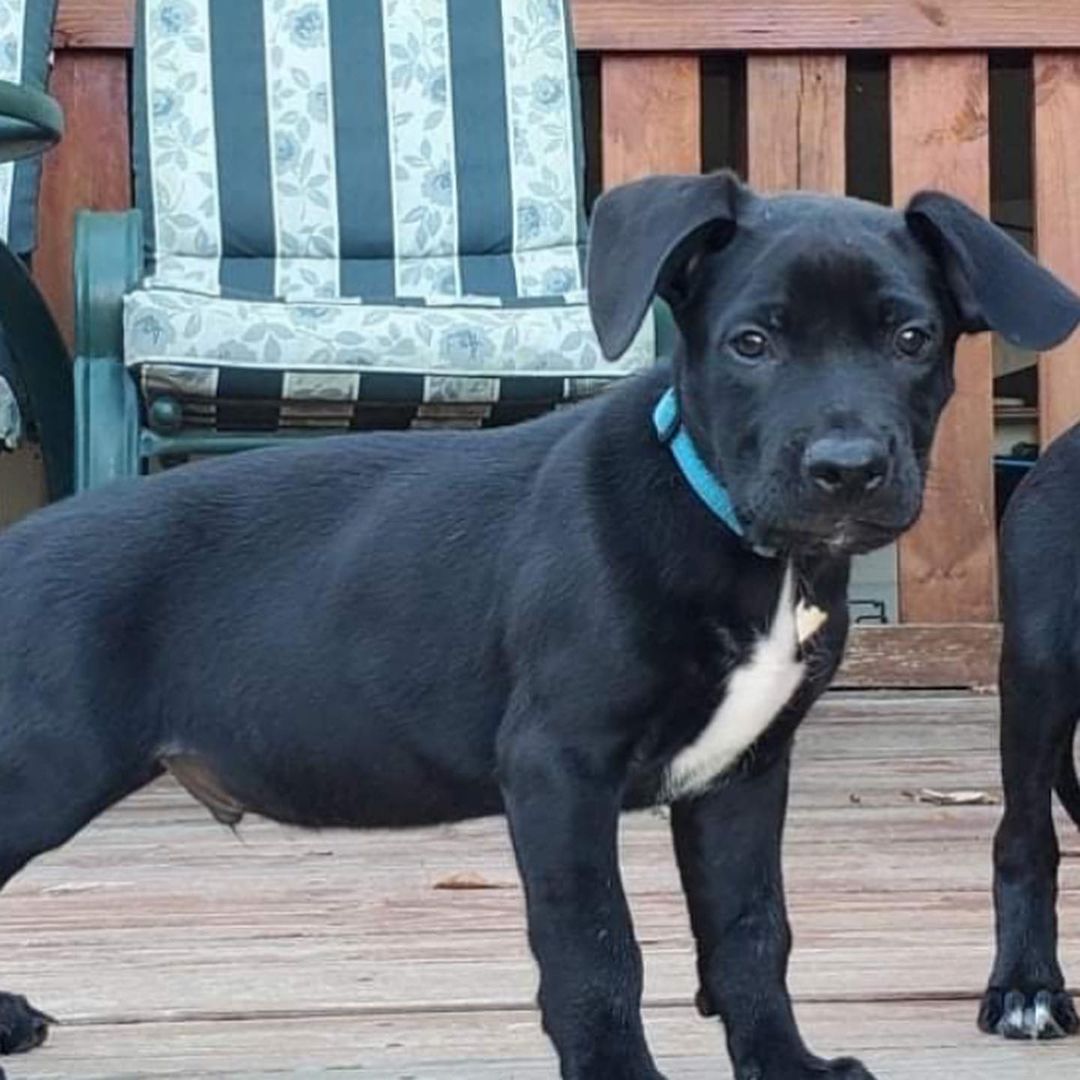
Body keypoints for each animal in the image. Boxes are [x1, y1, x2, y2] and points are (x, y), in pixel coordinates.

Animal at [2, 172, 1080, 1075]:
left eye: (912, 340)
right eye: (752, 343)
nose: (848, 469)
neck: (726, 529)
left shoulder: (742, 775)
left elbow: (751, 933)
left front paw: (786, 1067)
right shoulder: (560, 769)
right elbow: (598, 950)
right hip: (40, 769)